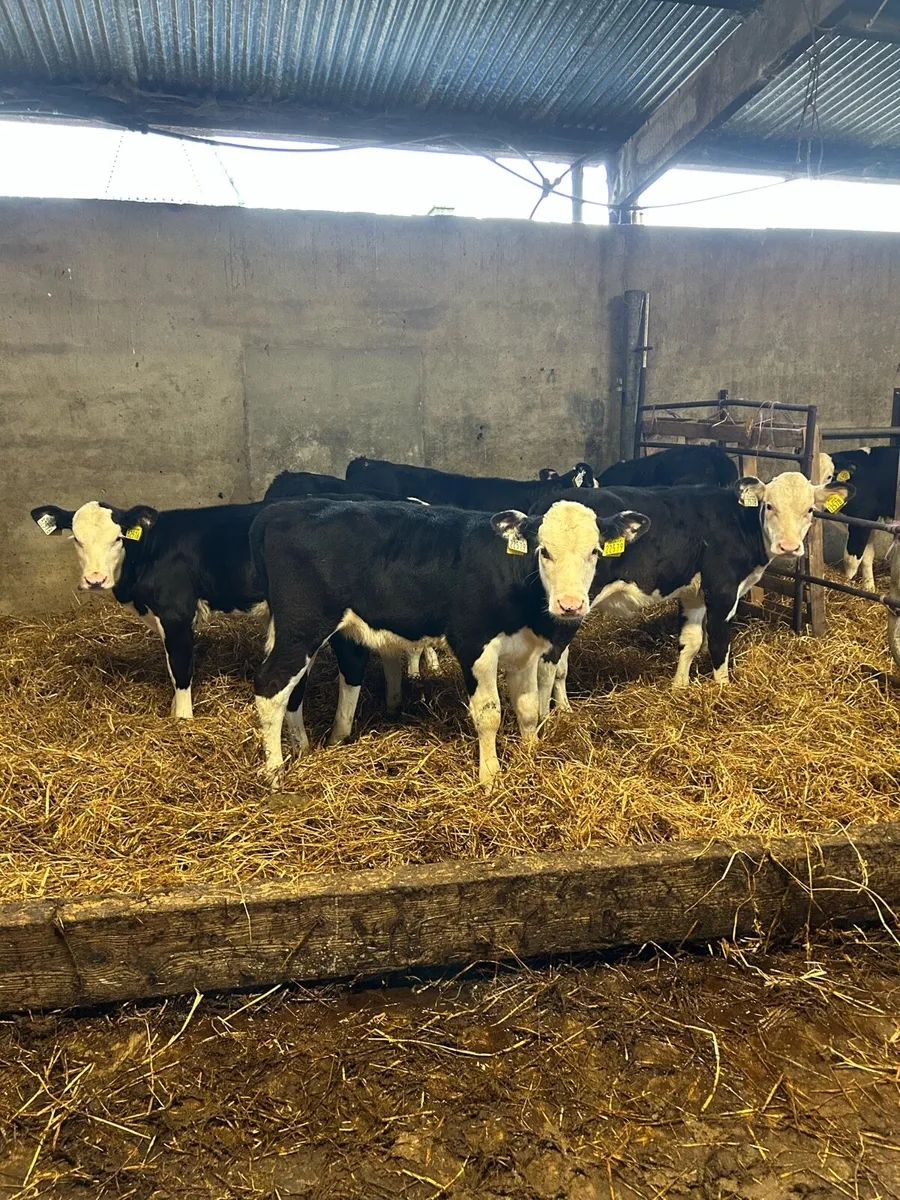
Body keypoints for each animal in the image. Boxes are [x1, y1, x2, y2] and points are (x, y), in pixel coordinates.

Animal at [250, 497, 650, 787]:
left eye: (595, 552)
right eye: (543, 551)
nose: (570, 605)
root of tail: (281, 510)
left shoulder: (525, 651)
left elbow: (527, 708)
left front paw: (530, 755)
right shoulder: (475, 644)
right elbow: (489, 714)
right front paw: (490, 776)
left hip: (319, 631)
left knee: (310, 683)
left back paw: (309, 746)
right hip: (303, 626)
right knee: (271, 685)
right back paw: (274, 772)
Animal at [531, 471, 853, 713]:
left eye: (809, 510)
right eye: (770, 506)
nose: (788, 547)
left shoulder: (694, 594)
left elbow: (691, 642)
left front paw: (680, 686)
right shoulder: (723, 590)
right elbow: (719, 644)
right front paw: (723, 688)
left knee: (559, 662)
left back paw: (564, 708)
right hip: (568, 605)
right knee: (549, 662)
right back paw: (550, 717)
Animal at [827, 447, 899, 592]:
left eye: (829, 476)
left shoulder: (862, 519)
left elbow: (851, 559)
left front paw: (846, 584)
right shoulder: (868, 522)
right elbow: (867, 557)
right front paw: (869, 587)